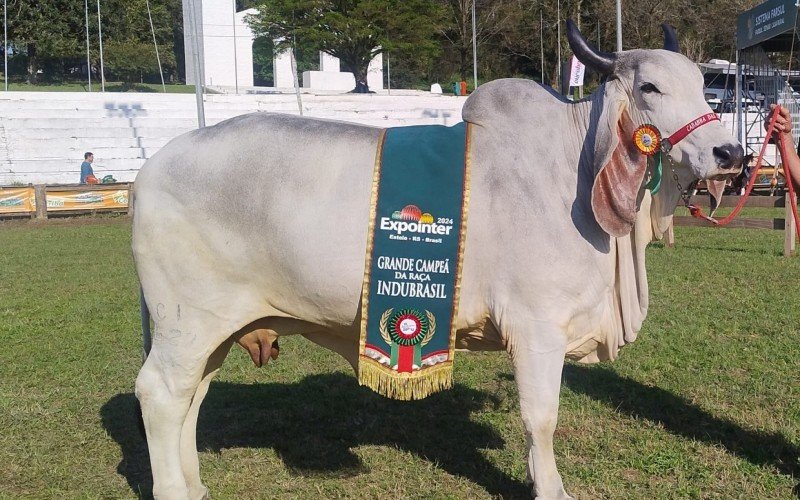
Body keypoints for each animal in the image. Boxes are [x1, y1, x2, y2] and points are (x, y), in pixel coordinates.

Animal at [133, 22, 744, 500]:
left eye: (701, 85)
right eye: (650, 86)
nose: (729, 153)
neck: (568, 172)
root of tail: (152, 168)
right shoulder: (537, 327)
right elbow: (541, 419)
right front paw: (551, 488)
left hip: (214, 327)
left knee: (193, 397)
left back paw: (195, 484)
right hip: (187, 322)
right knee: (161, 395)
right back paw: (173, 489)